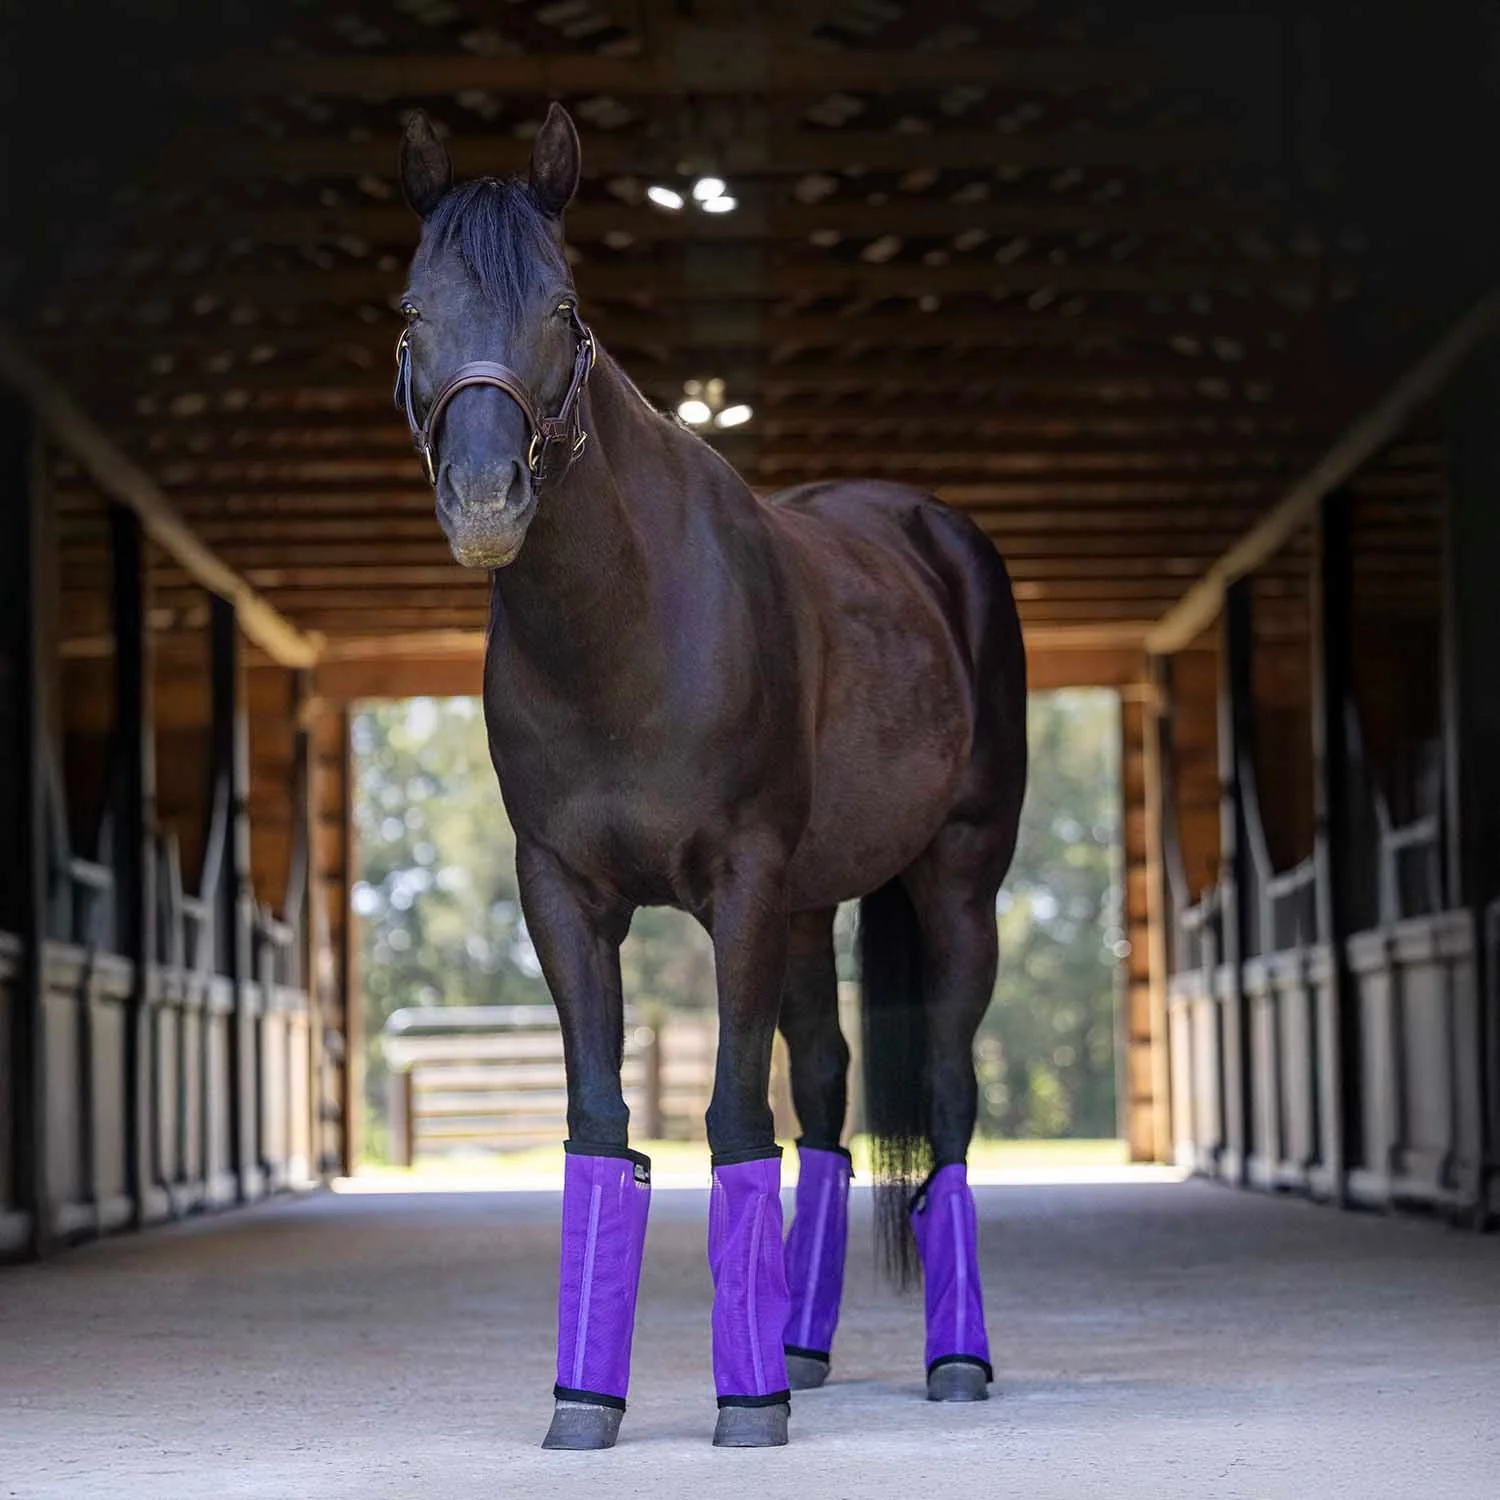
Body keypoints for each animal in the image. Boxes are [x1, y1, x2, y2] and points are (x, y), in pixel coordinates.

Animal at [394, 104, 1027, 1450]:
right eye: (414, 310)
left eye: (566, 308)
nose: (485, 501)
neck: (624, 632)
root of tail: (934, 533)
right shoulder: (565, 896)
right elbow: (600, 1125)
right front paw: (586, 1403)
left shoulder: (740, 883)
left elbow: (736, 1119)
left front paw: (748, 1407)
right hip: (811, 906)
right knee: (832, 1098)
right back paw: (801, 1343)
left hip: (957, 884)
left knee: (948, 1098)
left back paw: (953, 1361)